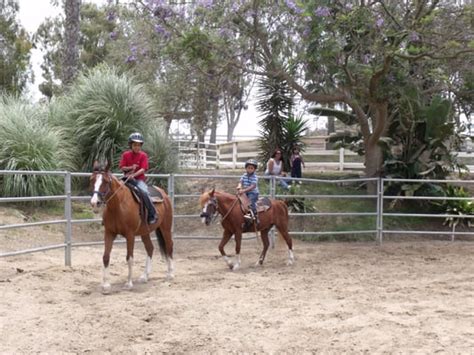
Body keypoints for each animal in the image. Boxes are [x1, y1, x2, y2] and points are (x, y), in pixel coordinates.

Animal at [89, 163, 174, 294]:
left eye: (106, 181)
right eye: (92, 179)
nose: (95, 203)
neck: (118, 206)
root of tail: (164, 194)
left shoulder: (130, 235)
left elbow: (129, 258)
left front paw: (128, 284)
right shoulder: (109, 233)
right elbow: (106, 257)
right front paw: (106, 285)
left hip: (165, 227)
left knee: (169, 246)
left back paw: (170, 274)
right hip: (145, 232)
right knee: (150, 248)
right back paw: (145, 276)